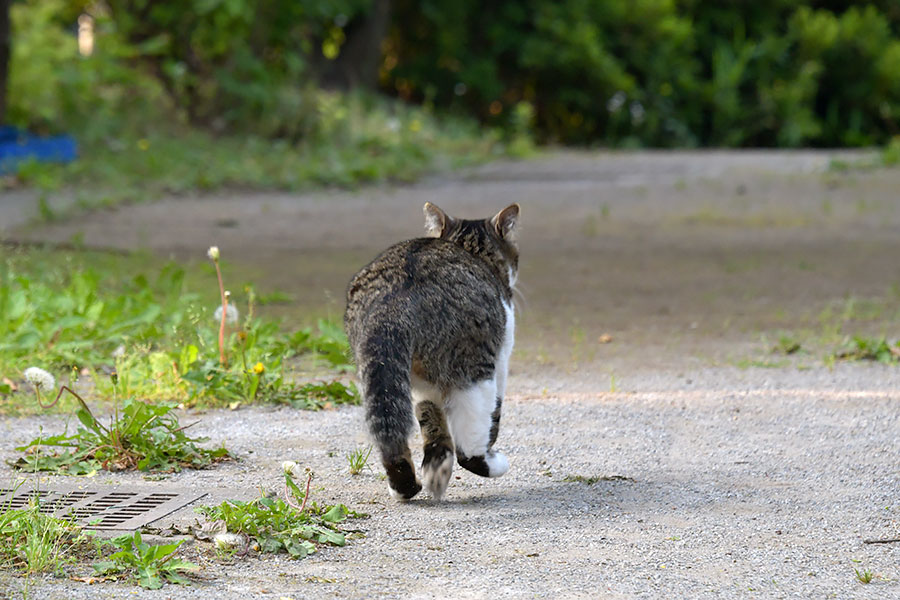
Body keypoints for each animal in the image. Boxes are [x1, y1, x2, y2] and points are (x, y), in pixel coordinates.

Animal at [344, 204, 520, 500]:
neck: (471, 251)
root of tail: (396, 300)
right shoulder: (502, 359)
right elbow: (492, 418)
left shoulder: (421, 386)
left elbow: (430, 419)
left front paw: (437, 465)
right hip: (475, 369)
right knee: (470, 447)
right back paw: (492, 463)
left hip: (380, 374)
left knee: (390, 433)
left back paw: (404, 486)